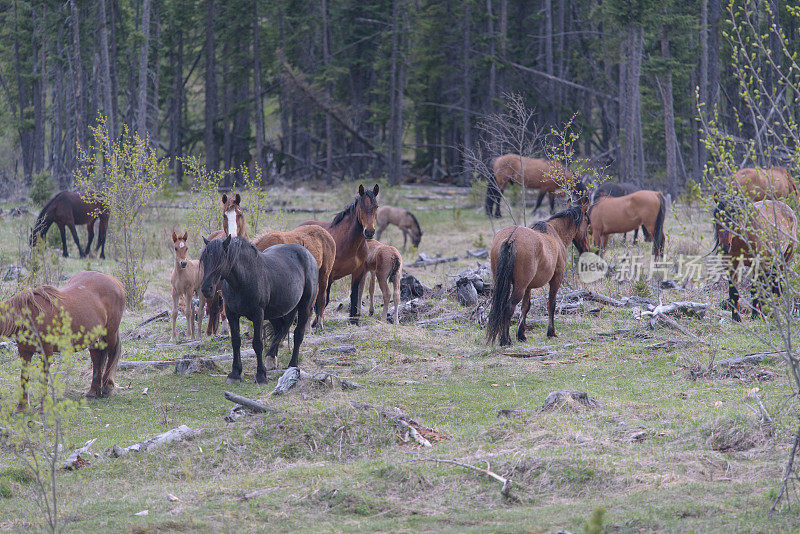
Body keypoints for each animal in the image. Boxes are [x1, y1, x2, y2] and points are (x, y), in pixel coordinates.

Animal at [0, 272, 126, 410]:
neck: (31, 316)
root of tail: (115, 281)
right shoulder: (24, 351)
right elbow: (24, 377)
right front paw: (22, 407)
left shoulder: (46, 352)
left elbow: (44, 377)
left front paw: (43, 406)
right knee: (97, 357)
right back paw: (93, 392)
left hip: (110, 332)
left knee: (112, 353)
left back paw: (107, 388)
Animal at [200, 237, 318, 384]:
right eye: (204, 260)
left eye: (220, 260)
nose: (206, 289)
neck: (244, 280)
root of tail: (307, 252)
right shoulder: (232, 314)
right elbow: (236, 342)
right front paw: (235, 373)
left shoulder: (258, 315)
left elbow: (257, 343)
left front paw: (261, 375)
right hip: (275, 313)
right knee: (280, 330)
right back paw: (271, 359)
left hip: (304, 307)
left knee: (298, 334)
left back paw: (292, 365)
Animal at [304, 184, 384, 326]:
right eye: (361, 207)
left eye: (376, 206)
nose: (369, 232)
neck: (349, 244)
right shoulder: (329, 275)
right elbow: (324, 298)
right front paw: (316, 323)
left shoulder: (358, 272)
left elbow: (354, 295)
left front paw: (354, 320)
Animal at [484, 207, 592, 346]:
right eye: (587, 222)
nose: (587, 249)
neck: (555, 234)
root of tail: (510, 238)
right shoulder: (556, 280)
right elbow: (551, 304)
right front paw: (551, 332)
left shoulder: (528, 287)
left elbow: (525, 307)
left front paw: (521, 334)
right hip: (519, 288)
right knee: (509, 307)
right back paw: (505, 340)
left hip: (505, 284)